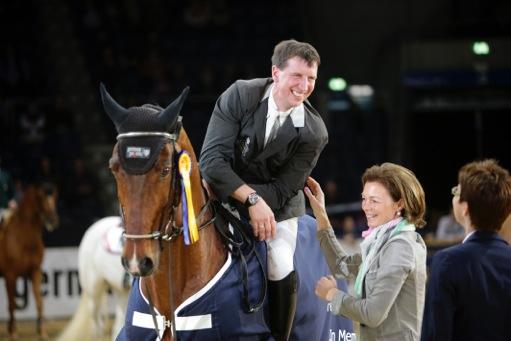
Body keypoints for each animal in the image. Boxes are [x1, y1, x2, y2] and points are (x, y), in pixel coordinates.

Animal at [0, 181, 59, 338]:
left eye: (54, 198)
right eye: (41, 198)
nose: (53, 220)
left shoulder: (35, 272)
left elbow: (39, 302)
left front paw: (42, 331)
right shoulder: (10, 276)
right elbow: (12, 304)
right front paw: (13, 332)